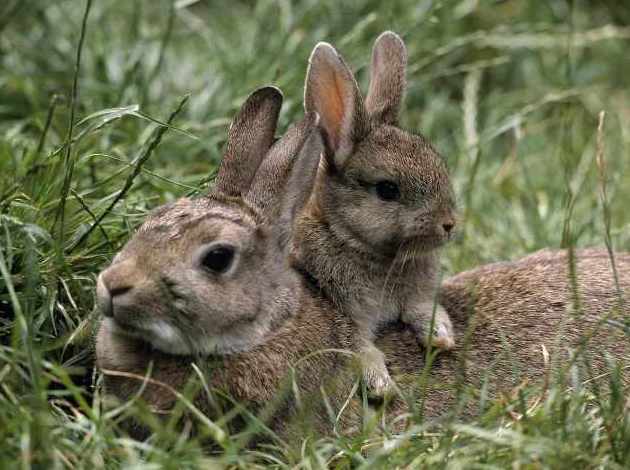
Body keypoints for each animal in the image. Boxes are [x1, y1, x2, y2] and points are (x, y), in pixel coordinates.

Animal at [292, 31, 460, 396]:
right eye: (387, 190)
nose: (449, 224)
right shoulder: (341, 309)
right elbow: (356, 344)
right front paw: (381, 384)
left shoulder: (416, 294)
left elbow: (423, 308)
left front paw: (441, 336)